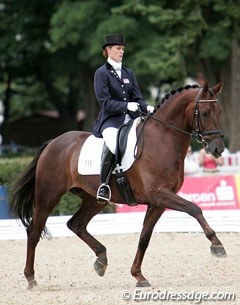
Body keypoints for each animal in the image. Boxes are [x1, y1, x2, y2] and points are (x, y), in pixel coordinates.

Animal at [9, 80, 227, 288]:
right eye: (205, 112)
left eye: (220, 112)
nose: (217, 149)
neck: (162, 139)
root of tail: (53, 142)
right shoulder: (159, 194)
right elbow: (194, 208)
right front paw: (217, 245)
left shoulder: (157, 202)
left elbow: (144, 237)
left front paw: (138, 276)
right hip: (48, 197)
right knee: (34, 232)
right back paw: (31, 278)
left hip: (94, 199)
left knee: (76, 224)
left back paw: (101, 260)